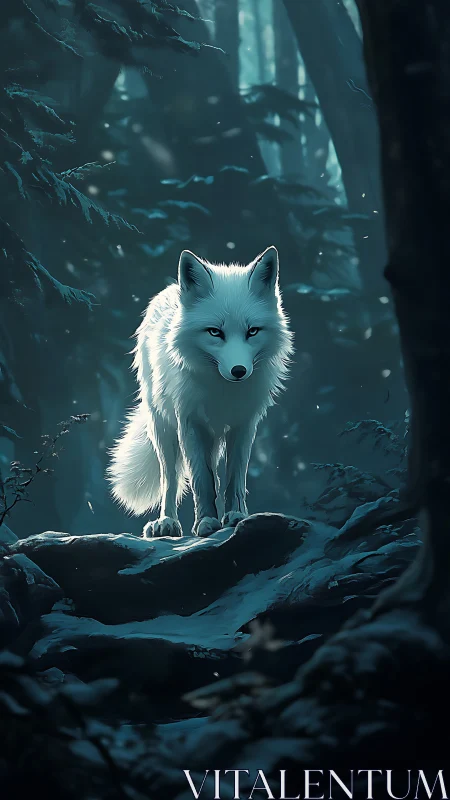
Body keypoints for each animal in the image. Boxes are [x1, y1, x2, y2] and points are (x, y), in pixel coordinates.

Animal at [107, 246, 294, 538]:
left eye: (252, 331)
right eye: (215, 332)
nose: (239, 370)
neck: (222, 393)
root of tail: (171, 289)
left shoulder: (244, 424)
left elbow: (234, 478)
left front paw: (237, 516)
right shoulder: (190, 422)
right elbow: (201, 480)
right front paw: (206, 522)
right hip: (163, 428)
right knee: (170, 479)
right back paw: (166, 523)